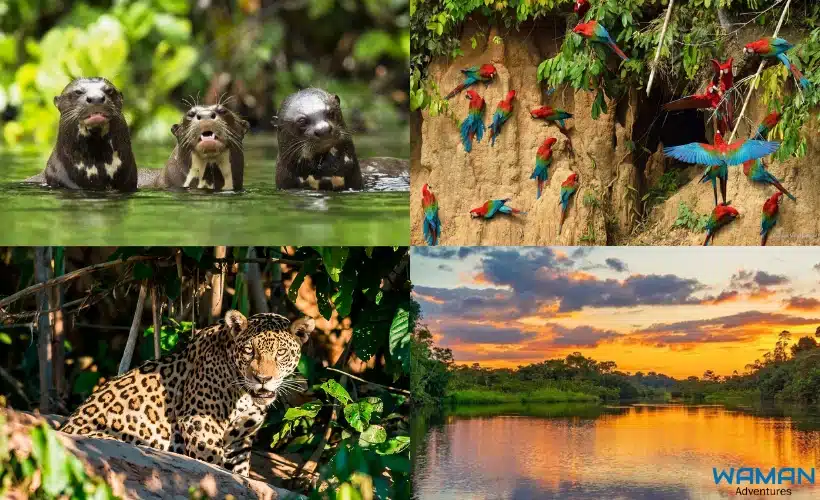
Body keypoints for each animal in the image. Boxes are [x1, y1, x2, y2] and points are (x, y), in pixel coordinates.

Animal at [59, 310, 315, 476]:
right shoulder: (201, 422)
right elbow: (213, 463)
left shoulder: (240, 441)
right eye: (249, 351)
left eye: (280, 352)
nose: (262, 379)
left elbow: (240, 475)